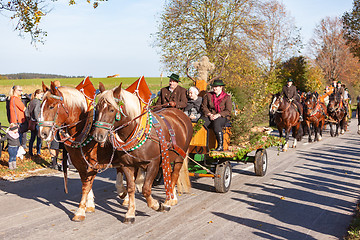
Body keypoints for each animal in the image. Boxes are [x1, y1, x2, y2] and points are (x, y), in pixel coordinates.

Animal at [38, 81, 131, 222]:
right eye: (40, 106)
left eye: (51, 106)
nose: (42, 133)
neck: (84, 129)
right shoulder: (79, 162)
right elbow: (86, 183)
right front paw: (90, 204)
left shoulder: (93, 163)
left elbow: (86, 185)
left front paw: (80, 211)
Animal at [93, 82, 193, 223]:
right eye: (97, 108)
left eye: (111, 110)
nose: (98, 135)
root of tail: (180, 114)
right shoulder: (127, 165)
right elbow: (130, 188)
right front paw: (130, 213)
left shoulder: (153, 164)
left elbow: (146, 189)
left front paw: (157, 205)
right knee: (169, 173)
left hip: (180, 156)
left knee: (174, 175)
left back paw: (169, 200)